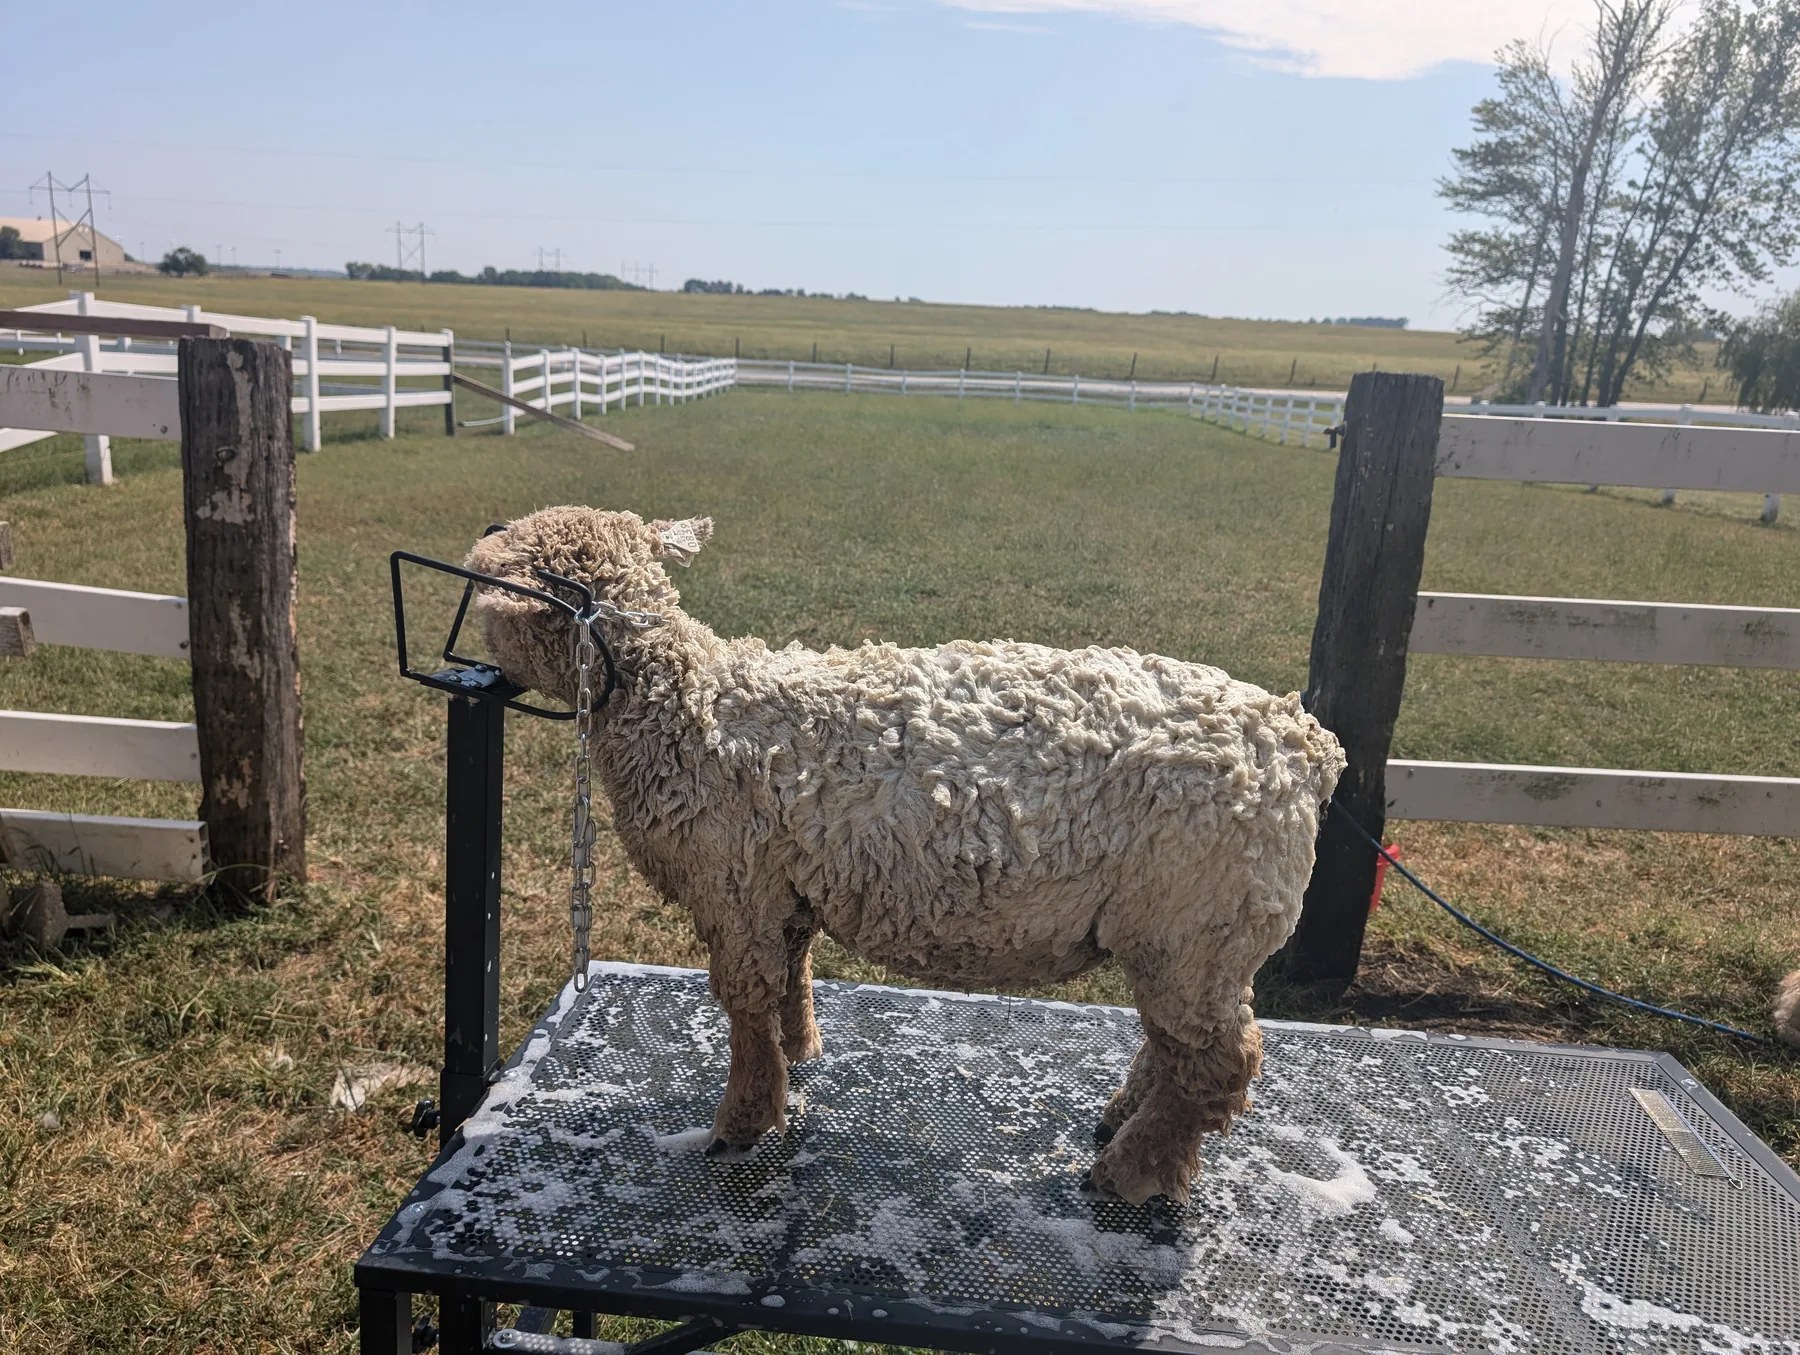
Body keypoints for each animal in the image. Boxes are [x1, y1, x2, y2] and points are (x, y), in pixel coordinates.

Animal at [467, 506, 1345, 1205]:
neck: (684, 705)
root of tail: (1306, 745)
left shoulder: (735, 886)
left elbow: (745, 1004)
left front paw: (742, 1119)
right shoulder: (783, 886)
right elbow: (791, 975)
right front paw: (800, 1053)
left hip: (1198, 924)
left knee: (1219, 1062)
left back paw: (1132, 1172)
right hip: (1190, 939)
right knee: (1180, 1049)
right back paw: (1125, 1121)